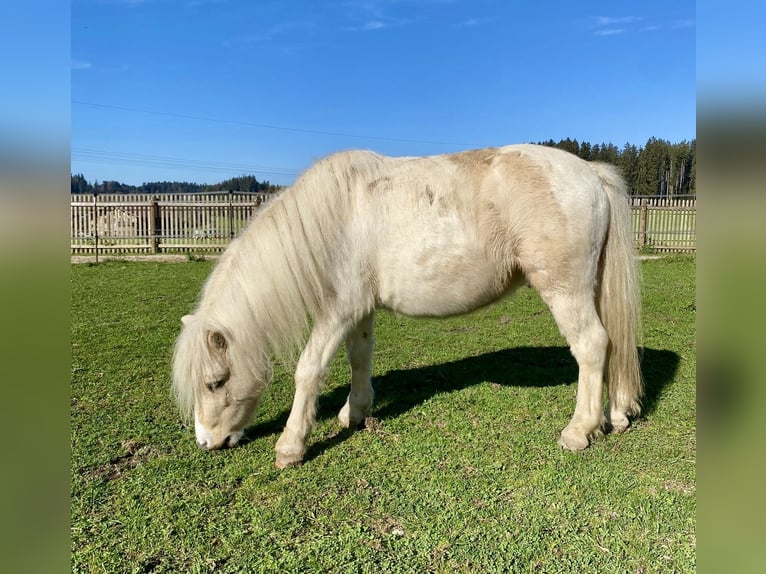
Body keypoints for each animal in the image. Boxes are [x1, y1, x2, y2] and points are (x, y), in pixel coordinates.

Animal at [172, 143, 640, 468]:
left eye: (214, 382)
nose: (206, 442)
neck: (334, 218)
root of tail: (590, 173)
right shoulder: (359, 310)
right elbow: (359, 357)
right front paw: (355, 412)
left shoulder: (338, 311)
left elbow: (309, 370)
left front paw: (290, 445)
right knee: (614, 344)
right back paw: (617, 415)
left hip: (566, 290)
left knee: (592, 346)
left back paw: (579, 431)